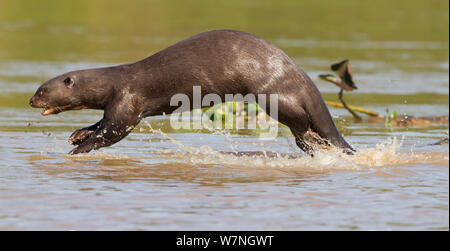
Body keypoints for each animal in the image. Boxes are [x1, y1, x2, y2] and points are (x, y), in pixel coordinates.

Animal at [29, 29, 356, 155]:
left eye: (42, 90)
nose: (31, 100)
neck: (114, 81)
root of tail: (298, 74)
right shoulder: (116, 103)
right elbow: (100, 123)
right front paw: (77, 135)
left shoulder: (128, 101)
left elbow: (113, 130)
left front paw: (79, 148)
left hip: (271, 94)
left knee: (301, 121)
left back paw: (313, 139)